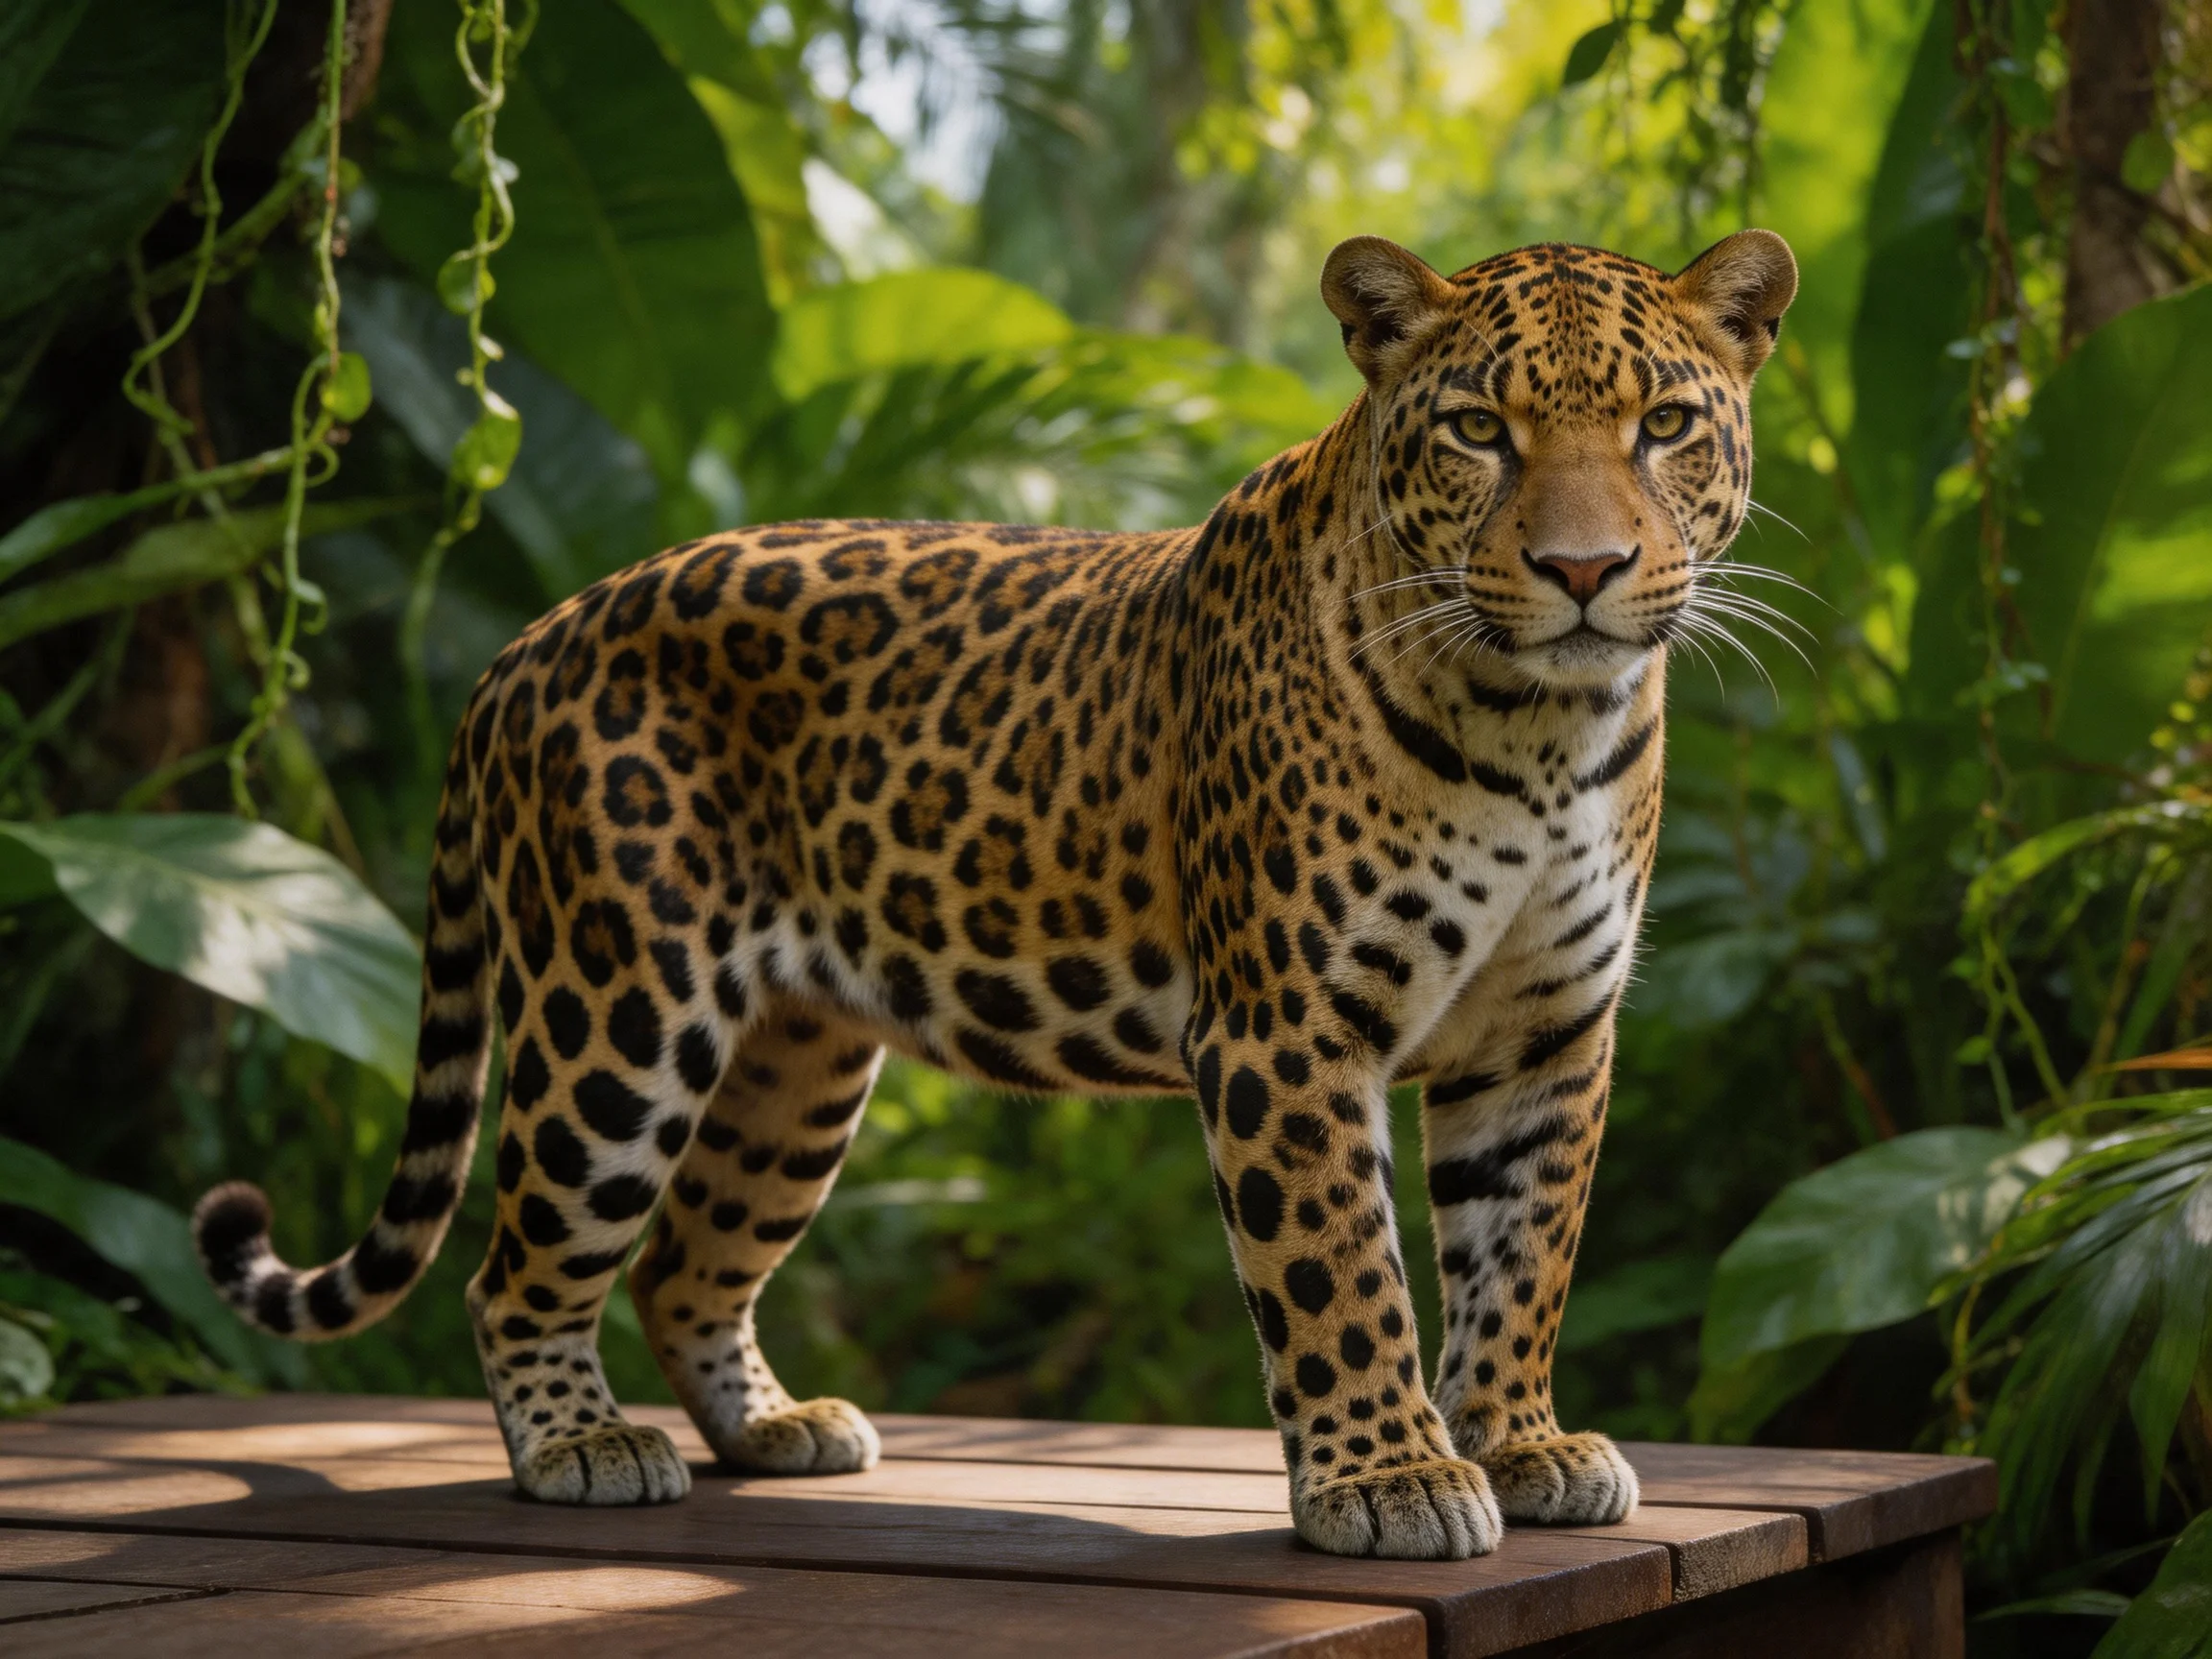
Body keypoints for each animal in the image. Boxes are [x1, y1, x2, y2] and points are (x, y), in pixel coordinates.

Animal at [192, 228, 1797, 1561]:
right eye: (1479, 430)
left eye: (1662, 426)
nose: (1581, 568)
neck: (1541, 732)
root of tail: (528, 640)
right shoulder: (1287, 1030)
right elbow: (1340, 1269)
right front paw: (1389, 1478)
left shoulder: (1545, 1033)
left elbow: (1525, 1256)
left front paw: (1521, 1446)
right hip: (618, 1018)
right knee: (517, 1264)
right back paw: (580, 1444)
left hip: (794, 1065)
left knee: (683, 1262)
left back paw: (772, 1430)